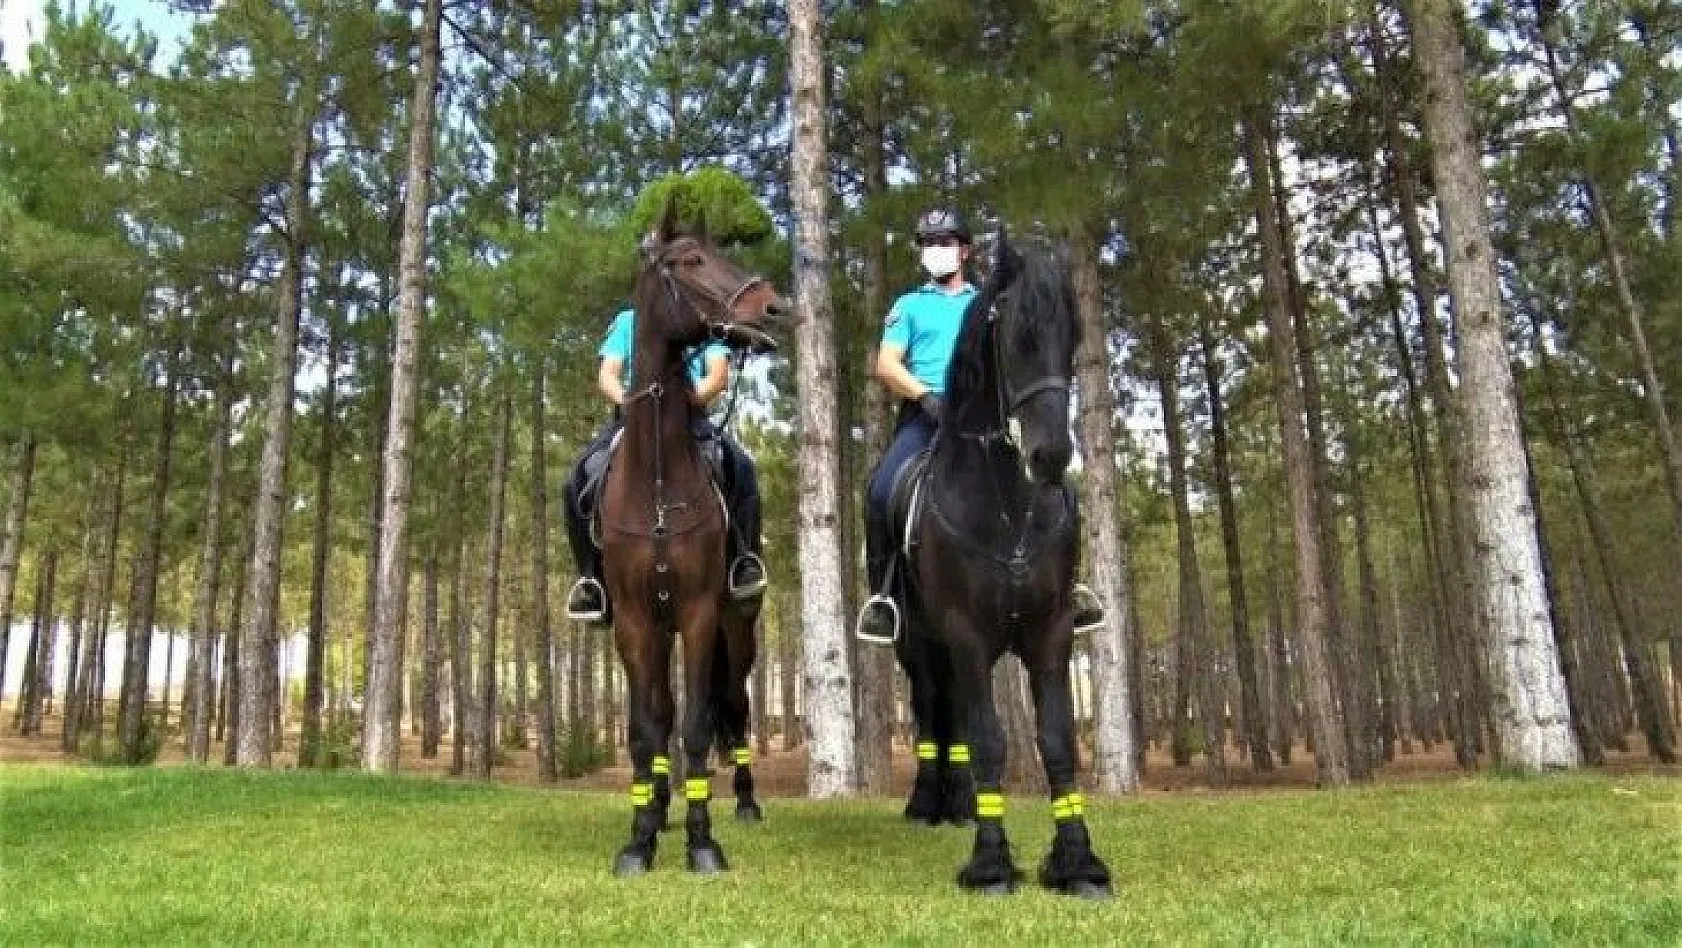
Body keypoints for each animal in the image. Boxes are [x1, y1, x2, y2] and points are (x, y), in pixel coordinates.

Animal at [605, 203, 787, 880]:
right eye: (689, 261)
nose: (774, 308)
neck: (657, 480)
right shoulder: (636, 621)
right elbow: (647, 730)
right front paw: (640, 838)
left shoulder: (702, 614)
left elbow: (700, 727)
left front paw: (702, 842)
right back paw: (661, 809)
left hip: (741, 631)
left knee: (735, 708)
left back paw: (744, 804)